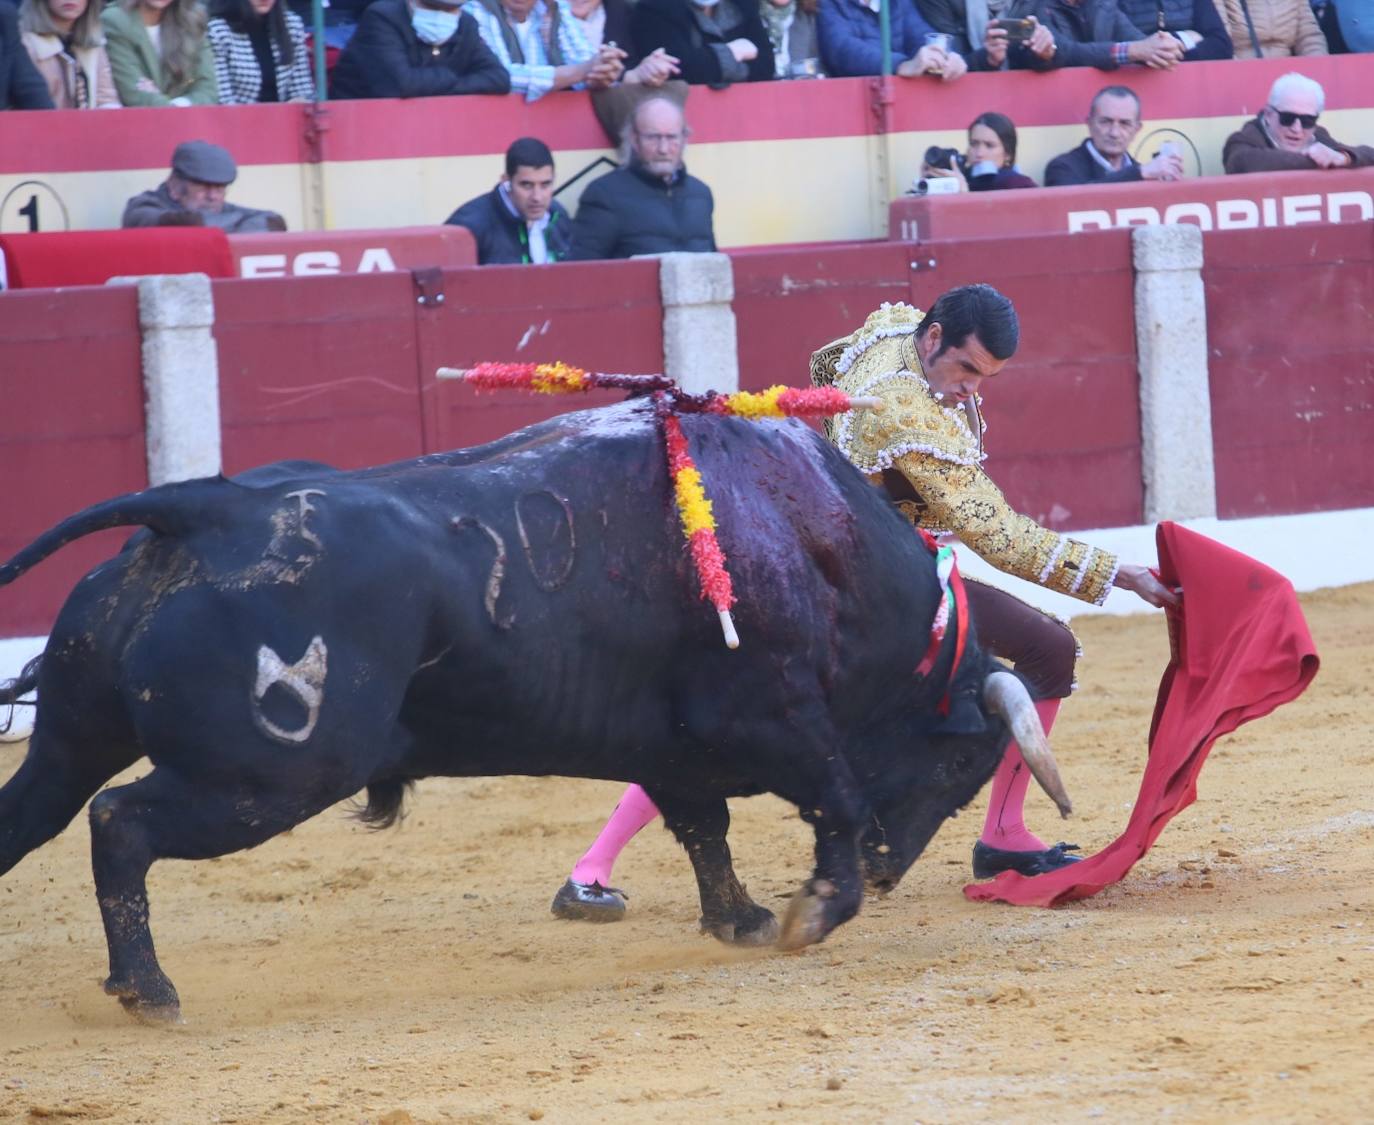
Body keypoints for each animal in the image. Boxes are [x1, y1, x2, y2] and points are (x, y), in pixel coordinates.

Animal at [0, 395, 1060, 1021]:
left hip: (77, 731)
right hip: (268, 774)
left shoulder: (676, 746)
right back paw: (149, 989)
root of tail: (205, 512)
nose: (888, 868)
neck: (810, 540)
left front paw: (744, 918)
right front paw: (816, 909)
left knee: (34, 813)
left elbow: (703, 829)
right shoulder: (779, 720)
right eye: (961, 762)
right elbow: (829, 795)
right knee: (119, 822)